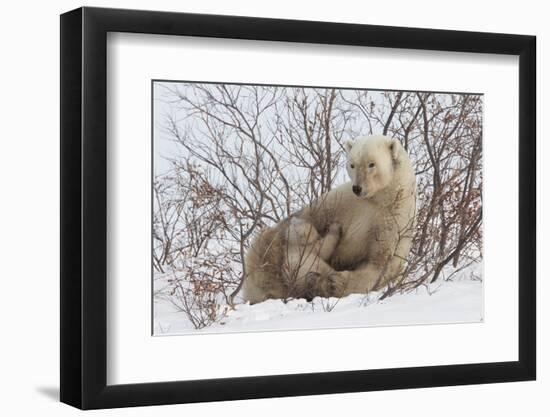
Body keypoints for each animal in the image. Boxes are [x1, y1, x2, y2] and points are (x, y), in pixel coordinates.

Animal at [243, 135, 418, 300]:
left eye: (371, 164)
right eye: (352, 164)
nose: (357, 188)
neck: (379, 198)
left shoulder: (393, 219)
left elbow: (379, 262)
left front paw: (336, 282)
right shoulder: (340, 202)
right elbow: (312, 217)